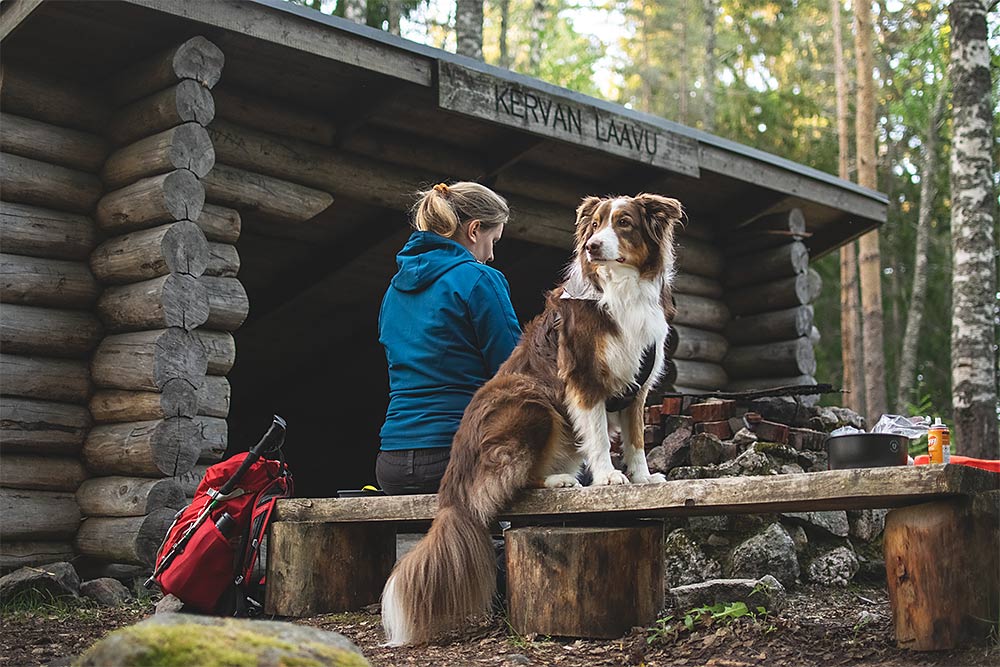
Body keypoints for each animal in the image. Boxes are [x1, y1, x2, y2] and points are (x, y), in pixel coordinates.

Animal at [378, 192, 684, 648]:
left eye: (624, 223)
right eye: (595, 225)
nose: (592, 247)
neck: (622, 288)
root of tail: (452, 484)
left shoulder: (638, 382)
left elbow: (636, 440)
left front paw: (644, 478)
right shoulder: (584, 378)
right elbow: (598, 434)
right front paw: (608, 477)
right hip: (532, 404)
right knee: (515, 483)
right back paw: (559, 481)